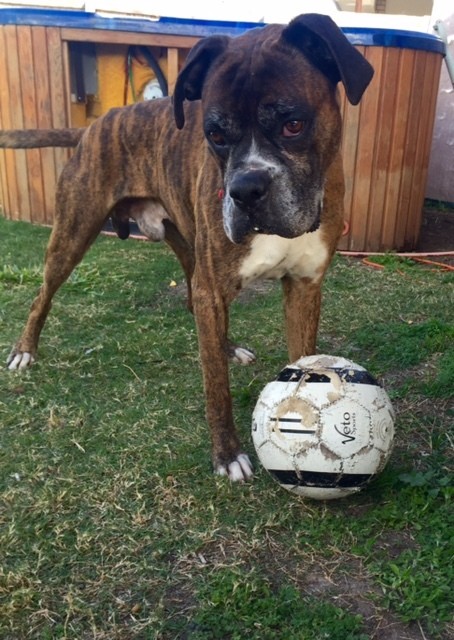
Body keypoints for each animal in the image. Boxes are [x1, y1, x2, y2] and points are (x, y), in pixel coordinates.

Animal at [2, 13, 372, 480]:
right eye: (214, 134)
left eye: (293, 124)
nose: (245, 189)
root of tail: (96, 125)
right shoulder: (215, 285)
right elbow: (216, 385)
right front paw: (227, 455)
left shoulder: (304, 287)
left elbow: (303, 358)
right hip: (73, 234)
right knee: (43, 295)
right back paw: (24, 351)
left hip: (188, 246)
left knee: (195, 303)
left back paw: (228, 345)